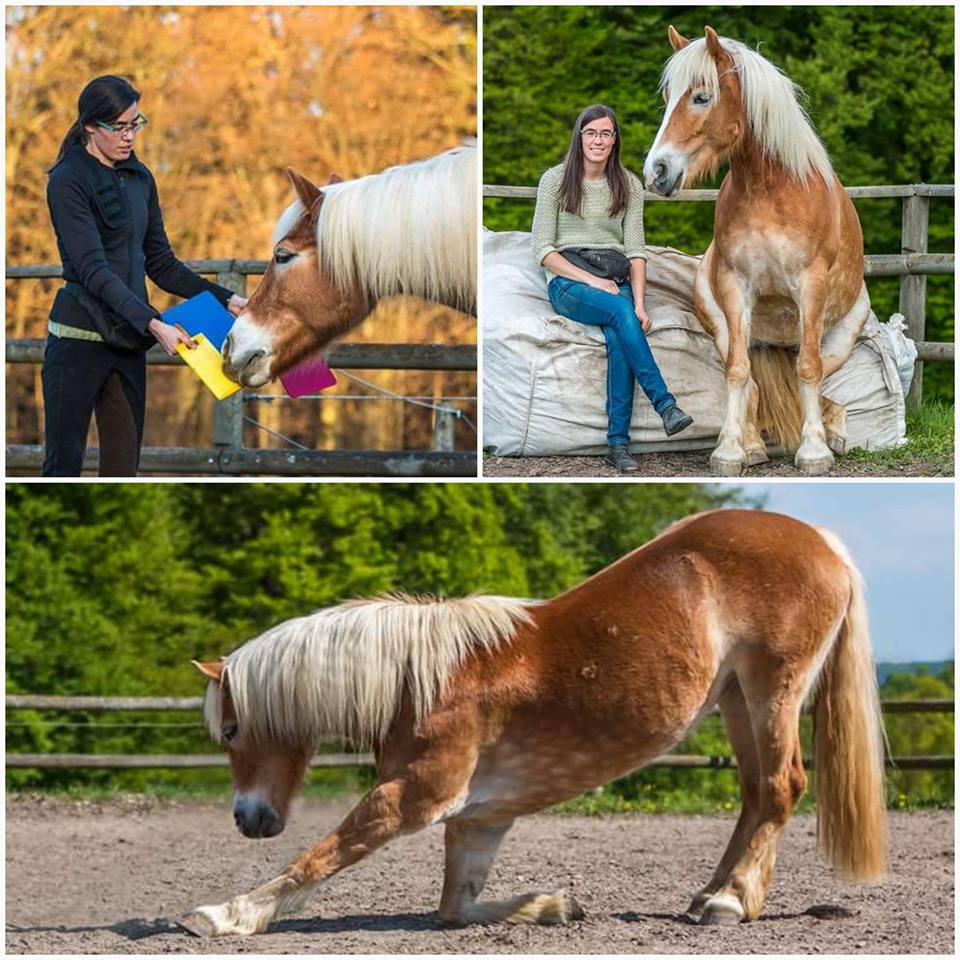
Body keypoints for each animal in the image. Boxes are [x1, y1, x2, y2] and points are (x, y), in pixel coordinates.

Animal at [180, 509, 886, 937]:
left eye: (233, 731)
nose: (249, 819)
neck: (422, 682)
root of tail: (820, 540)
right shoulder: (478, 818)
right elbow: (455, 908)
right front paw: (556, 905)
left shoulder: (412, 799)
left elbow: (319, 858)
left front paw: (221, 914)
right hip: (737, 698)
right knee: (753, 795)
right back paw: (711, 895)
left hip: (773, 690)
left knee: (780, 787)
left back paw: (729, 901)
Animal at [643, 27, 870, 476]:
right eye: (667, 97)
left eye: (701, 97)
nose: (656, 171)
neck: (771, 191)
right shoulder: (735, 287)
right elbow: (738, 373)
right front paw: (730, 451)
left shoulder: (811, 287)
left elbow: (808, 370)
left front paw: (814, 451)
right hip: (721, 325)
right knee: (752, 382)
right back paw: (752, 444)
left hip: (841, 337)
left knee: (821, 383)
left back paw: (834, 433)